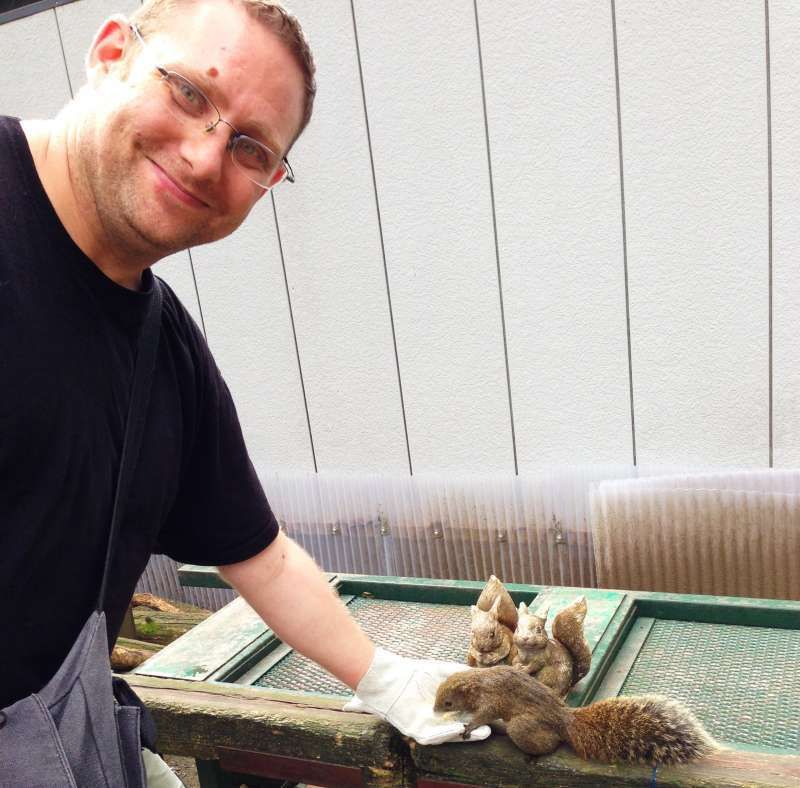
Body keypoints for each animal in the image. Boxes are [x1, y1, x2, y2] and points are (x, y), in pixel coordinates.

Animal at [434, 664, 716, 764]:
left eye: (447, 702)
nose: (435, 710)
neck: (479, 682)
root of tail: (564, 721)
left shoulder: (492, 700)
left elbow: (483, 715)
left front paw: (469, 726)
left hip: (524, 727)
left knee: (549, 743)